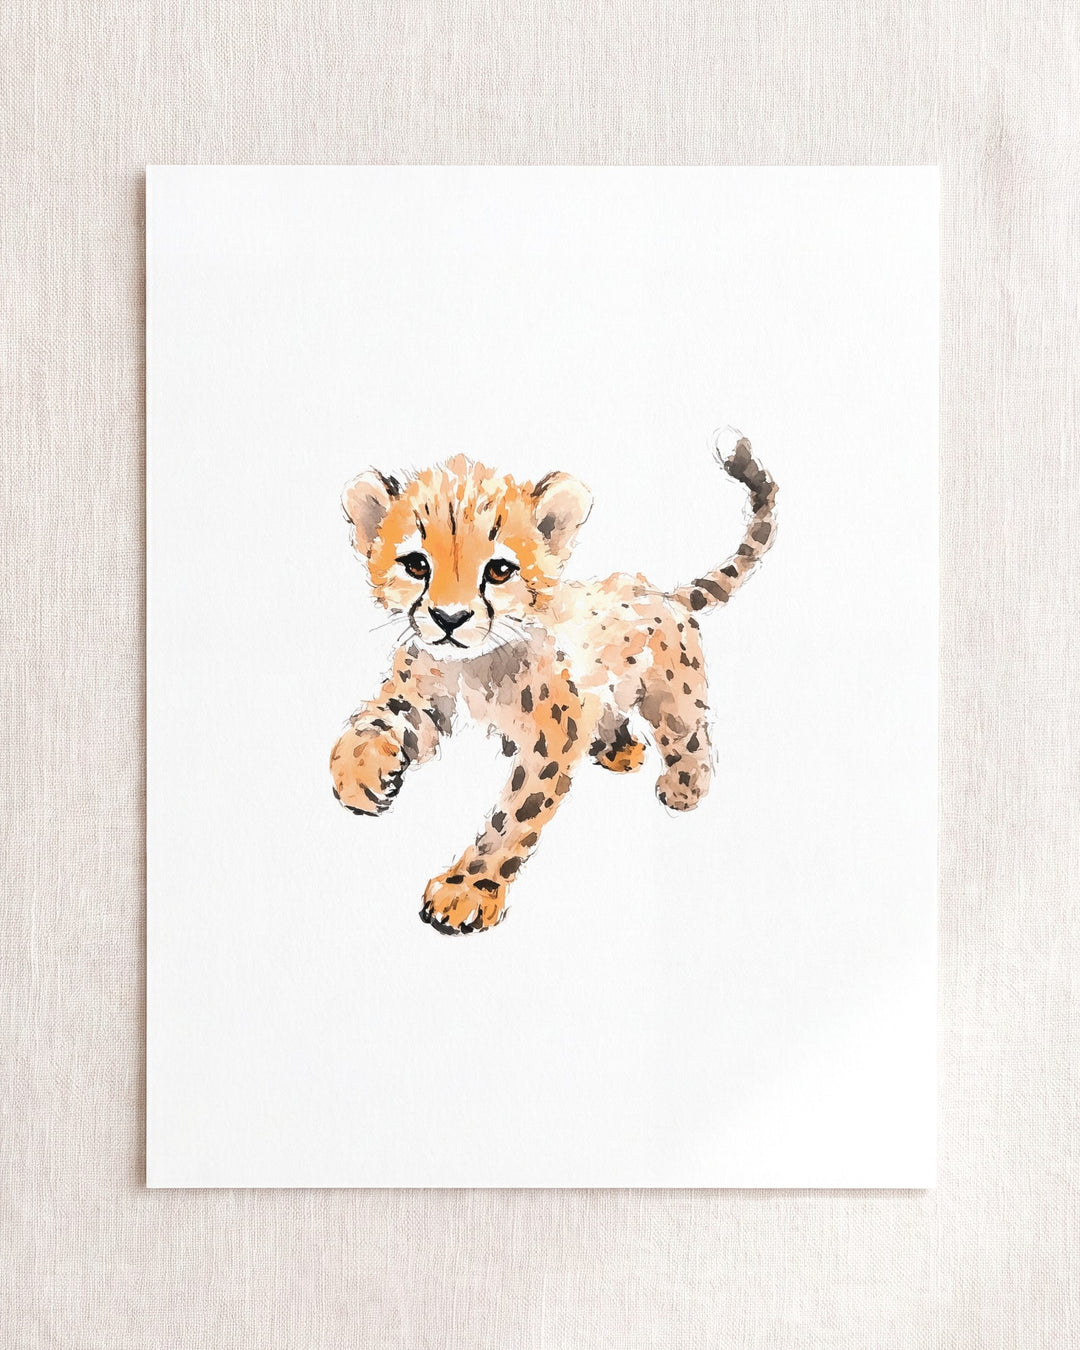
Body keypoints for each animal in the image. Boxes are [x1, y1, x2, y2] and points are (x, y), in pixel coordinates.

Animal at [330, 428, 778, 934]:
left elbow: (511, 820)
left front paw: (467, 890)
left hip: (671, 691)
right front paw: (361, 779)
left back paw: (684, 787)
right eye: (416, 565)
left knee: (688, 731)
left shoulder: (552, 738)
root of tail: (660, 591)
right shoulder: (418, 696)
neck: (475, 665)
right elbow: (367, 728)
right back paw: (619, 749)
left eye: (499, 570)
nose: (449, 619)